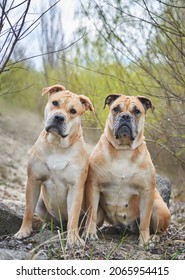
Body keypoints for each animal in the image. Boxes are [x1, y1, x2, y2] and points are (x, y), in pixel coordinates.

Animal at [14, 83, 94, 245]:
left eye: (73, 111)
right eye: (55, 103)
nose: (59, 117)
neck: (57, 144)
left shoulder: (75, 188)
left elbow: (73, 216)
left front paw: (73, 238)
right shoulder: (33, 180)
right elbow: (28, 209)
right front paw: (24, 230)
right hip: (41, 202)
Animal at [84, 93, 171, 245]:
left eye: (137, 111)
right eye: (116, 109)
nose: (125, 116)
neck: (123, 150)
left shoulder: (146, 191)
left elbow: (145, 221)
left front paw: (144, 241)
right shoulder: (93, 186)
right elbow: (91, 213)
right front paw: (90, 233)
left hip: (159, 207)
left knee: (160, 230)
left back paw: (154, 237)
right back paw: (110, 229)